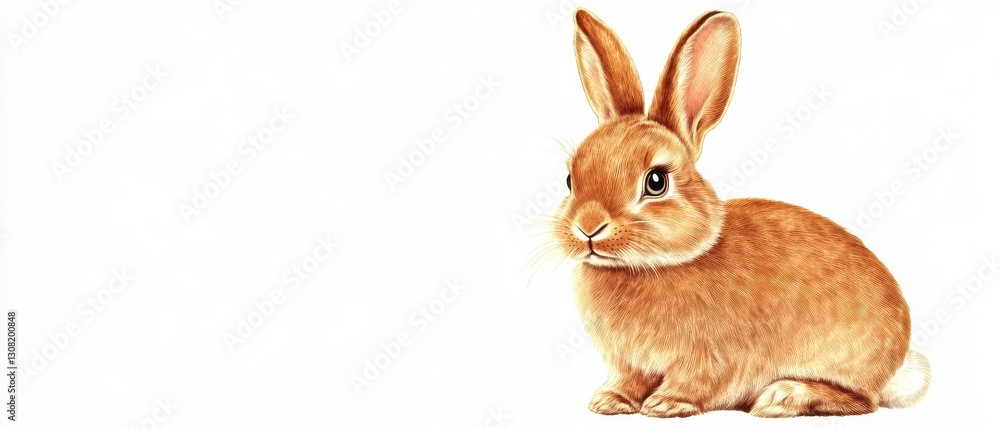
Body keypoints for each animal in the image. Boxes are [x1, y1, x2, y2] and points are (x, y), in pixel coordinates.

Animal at [552, 9, 931, 418]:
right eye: (570, 179)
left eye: (656, 182)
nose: (589, 228)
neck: (648, 266)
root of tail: (896, 363)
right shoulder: (629, 364)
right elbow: (628, 380)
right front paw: (609, 401)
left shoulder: (709, 356)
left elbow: (697, 381)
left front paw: (667, 404)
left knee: (861, 401)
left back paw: (782, 397)